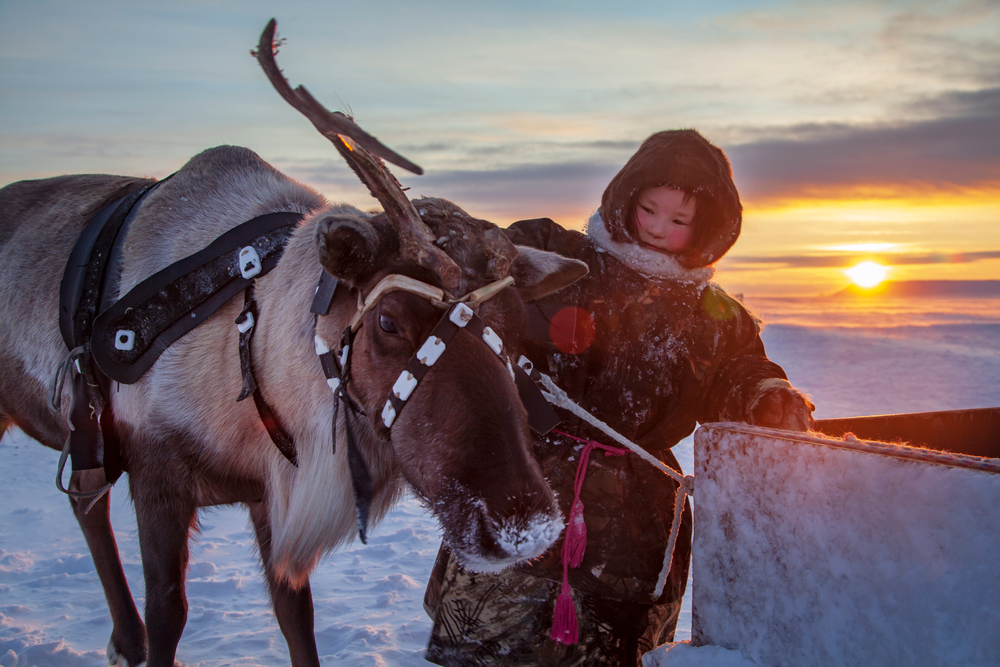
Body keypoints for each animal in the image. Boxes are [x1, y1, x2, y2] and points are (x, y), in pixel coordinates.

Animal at [0, 19, 587, 667]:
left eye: (515, 325)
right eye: (387, 323)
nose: (524, 526)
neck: (250, 356)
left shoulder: (268, 497)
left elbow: (295, 617)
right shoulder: (157, 474)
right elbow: (169, 615)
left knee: (83, 498)